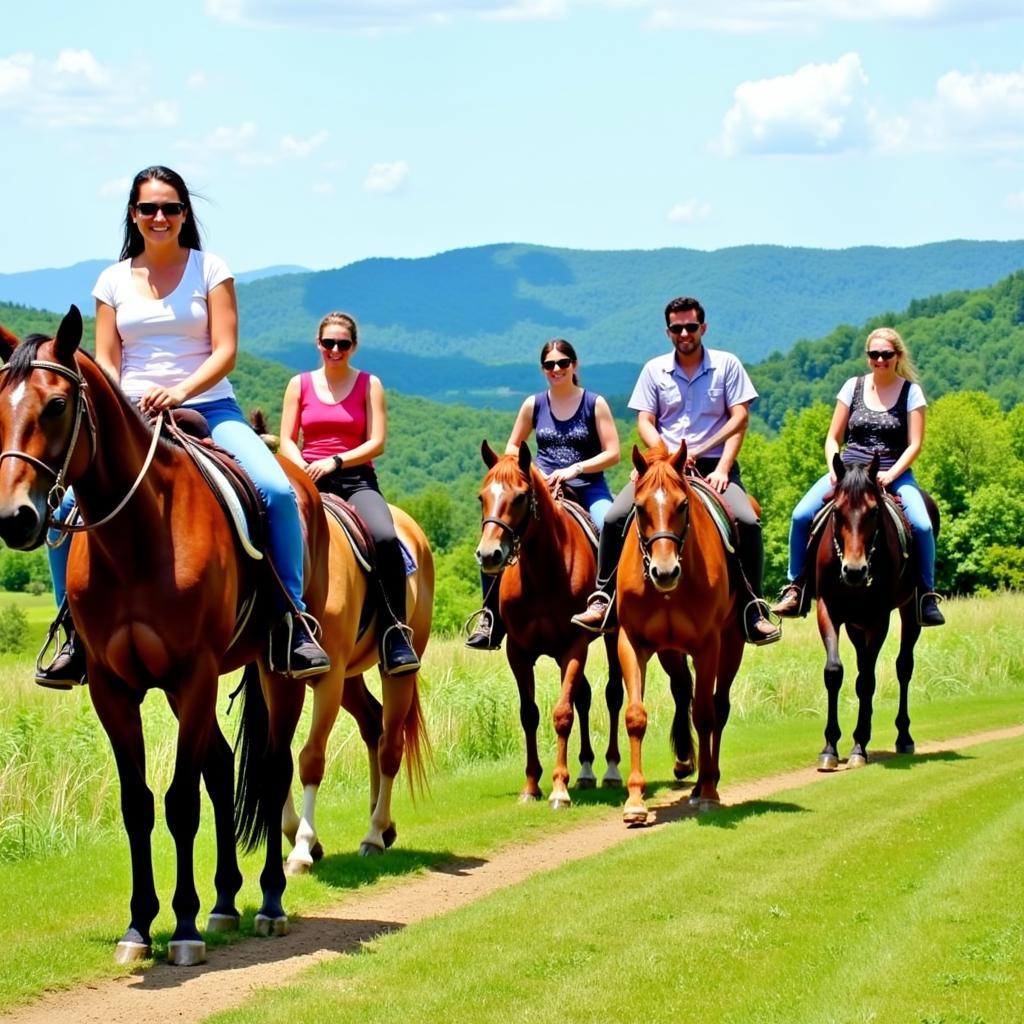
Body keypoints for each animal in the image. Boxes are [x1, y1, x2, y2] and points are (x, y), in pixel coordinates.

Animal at [0, 307, 323, 962]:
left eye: (56, 405)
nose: (15, 517)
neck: (137, 535)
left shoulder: (192, 675)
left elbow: (179, 802)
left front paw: (184, 928)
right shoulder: (113, 688)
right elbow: (139, 804)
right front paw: (139, 926)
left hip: (273, 676)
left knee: (272, 771)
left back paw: (268, 904)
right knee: (222, 770)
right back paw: (225, 903)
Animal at [274, 501, 434, 864]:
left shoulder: (329, 678)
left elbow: (311, 758)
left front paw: (303, 846)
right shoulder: (275, 677)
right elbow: (277, 756)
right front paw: (295, 836)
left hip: (396, 671)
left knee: (390, 745)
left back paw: (374, 834)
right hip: (350, 679)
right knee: (374, 724)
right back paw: (384, 825)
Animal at [610, 442, 741, 823]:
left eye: (683, 505)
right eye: (640, 508)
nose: (664, 571)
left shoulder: (708, 644)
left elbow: (705, 714)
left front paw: (709, 792)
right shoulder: (632, 643)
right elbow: (635, 716)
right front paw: (635, 801)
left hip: (732, 644)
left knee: (717, 706)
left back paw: (706, 783)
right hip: (670, 650)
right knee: (684, 691)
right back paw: (687, 767)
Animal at [811, 454, 937, 770]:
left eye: (874, 511)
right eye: (837, 512)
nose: (854, 571)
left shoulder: (878, 618)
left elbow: (868, 681)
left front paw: (859, 746)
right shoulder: (828, 610)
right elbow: (835, 672)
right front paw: (830, 747)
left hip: (909, 612)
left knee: (903, 667)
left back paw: (903, 737)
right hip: (856, 625)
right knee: (860, 669)